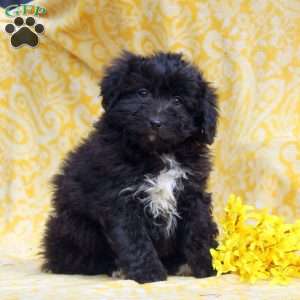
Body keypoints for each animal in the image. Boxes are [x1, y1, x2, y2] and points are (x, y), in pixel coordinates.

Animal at [41, 51, 218, 284]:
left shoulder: (192, 192)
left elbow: (199, 230)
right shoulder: (120, 199)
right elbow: (135, 239)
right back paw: (117, 269)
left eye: (178, 101)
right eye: (143, 92)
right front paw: (150, 274)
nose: (156, 121)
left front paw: (209, 267)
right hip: (75, 227)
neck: (158, 153)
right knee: (75, 260)